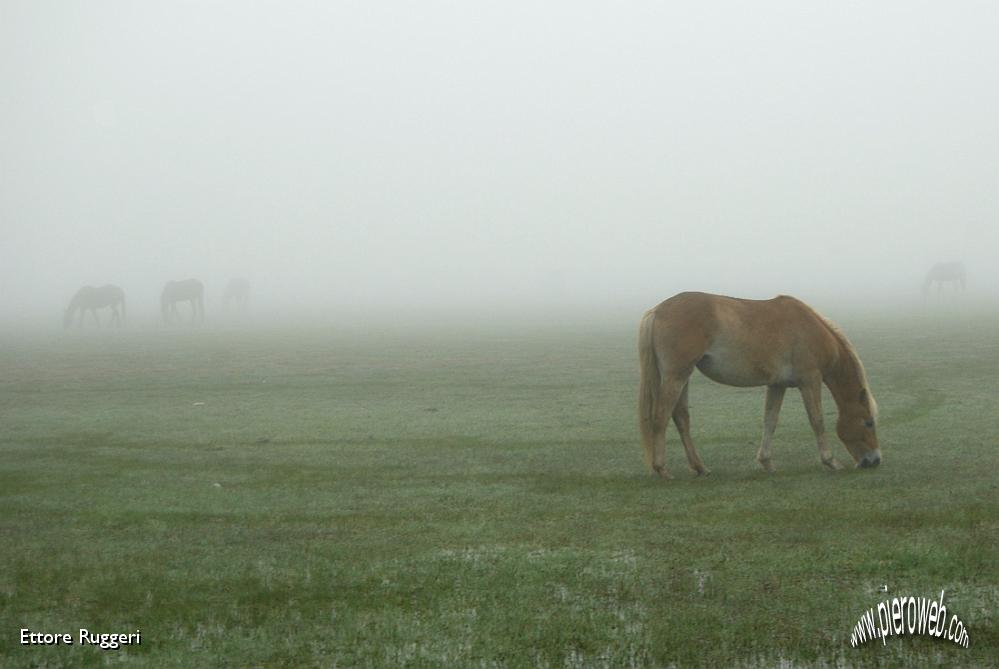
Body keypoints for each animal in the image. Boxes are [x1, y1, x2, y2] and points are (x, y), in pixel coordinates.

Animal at [640, 290, 884, 474]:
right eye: (868, 422)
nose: (874, 460)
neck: (811, 330)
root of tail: (657, 311)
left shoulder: (777, 385)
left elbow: (770, 420)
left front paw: (766, 462)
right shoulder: (810, 381)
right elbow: (817, 420)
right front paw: (831, 461)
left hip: (683, 377)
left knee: (681, 418)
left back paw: (700, 467)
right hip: (675, 377)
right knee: (660, 417)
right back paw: (662, 469)